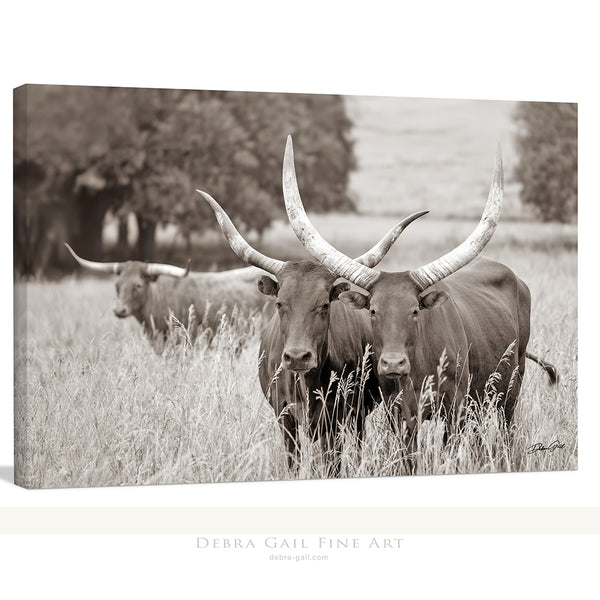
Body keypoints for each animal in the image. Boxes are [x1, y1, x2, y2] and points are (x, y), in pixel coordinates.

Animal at [197, 190, 426, 472]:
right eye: (279, 303)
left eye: (325, 304)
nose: (297, 357)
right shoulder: (284, 417)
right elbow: (293, 462)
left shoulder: (335, 418)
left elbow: (333, 464)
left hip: (360, 413)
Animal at [282, 136, 556, 442]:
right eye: (373, 310)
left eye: (415, 310)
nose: (392, 364)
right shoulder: (400, 415)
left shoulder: (455, 410)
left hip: (510, 388)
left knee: (507, 428)